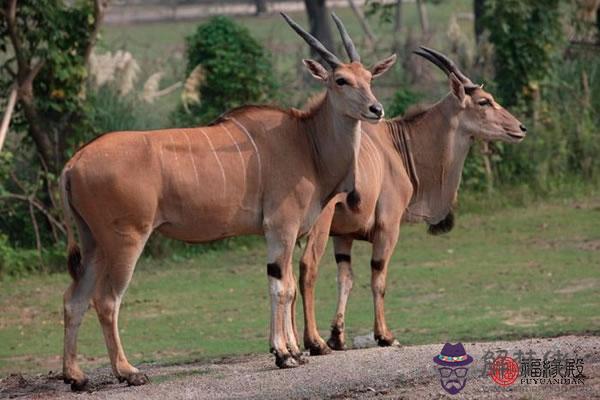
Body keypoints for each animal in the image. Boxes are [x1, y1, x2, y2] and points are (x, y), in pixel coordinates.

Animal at [58, 13, 396, 390]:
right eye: (341, 80)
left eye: (369, 77)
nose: (376, 109)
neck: (306, 142)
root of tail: (74, 163)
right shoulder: (281, 227)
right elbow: (281, 288)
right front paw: (284, 354)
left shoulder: (284, 234)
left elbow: (286, 285)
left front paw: (293, 351)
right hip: (125, 241)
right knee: (106, 300)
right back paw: (128, 372)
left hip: (93, 243)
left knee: (74, 299)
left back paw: (76, 376)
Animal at [300, 47, 524, 356]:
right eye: (483, 101)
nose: (520, 128)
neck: (394, 146)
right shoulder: (387, 228)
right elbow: (378, 278)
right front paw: (385, 335)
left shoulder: (343, 235)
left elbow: (345, 279)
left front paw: (337, 336)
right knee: (306, 267)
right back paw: (312, 342)